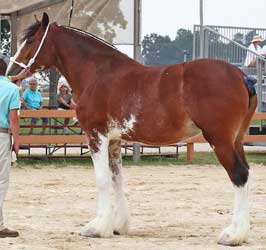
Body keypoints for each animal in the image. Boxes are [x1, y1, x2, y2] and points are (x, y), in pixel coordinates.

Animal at [7, 12, 258, 245]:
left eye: (30, 41)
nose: (10, 72)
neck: (98, 74)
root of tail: (241, 76)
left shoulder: (96, 136)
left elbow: (102, 180)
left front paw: (97, 227)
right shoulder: (114, 140)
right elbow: (117, 178)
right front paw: (118, 225)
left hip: (220, 140)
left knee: (238, 174)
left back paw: (232, 235)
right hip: (236, 140)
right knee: (245, 173)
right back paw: (241, 232)